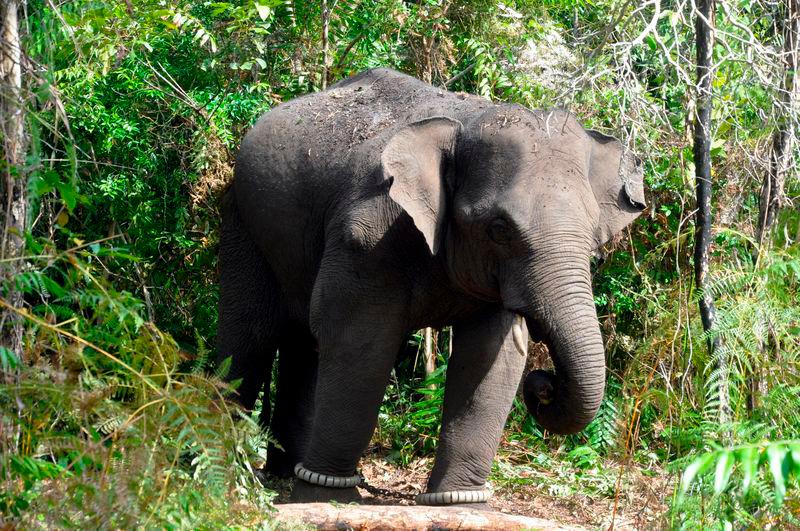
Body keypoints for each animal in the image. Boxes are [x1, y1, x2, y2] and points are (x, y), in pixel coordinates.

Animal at [216, 67, 648, 508]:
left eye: (595, 235)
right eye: (498, 229)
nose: (543, 384)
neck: (465, 125)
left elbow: (490, 357)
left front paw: (463, 504)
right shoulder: (368, 234)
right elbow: (360, 341)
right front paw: (328, 499)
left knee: (304, 344)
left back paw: (283, 476)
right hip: (243, 218)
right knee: (250, 334)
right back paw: (226, 474)